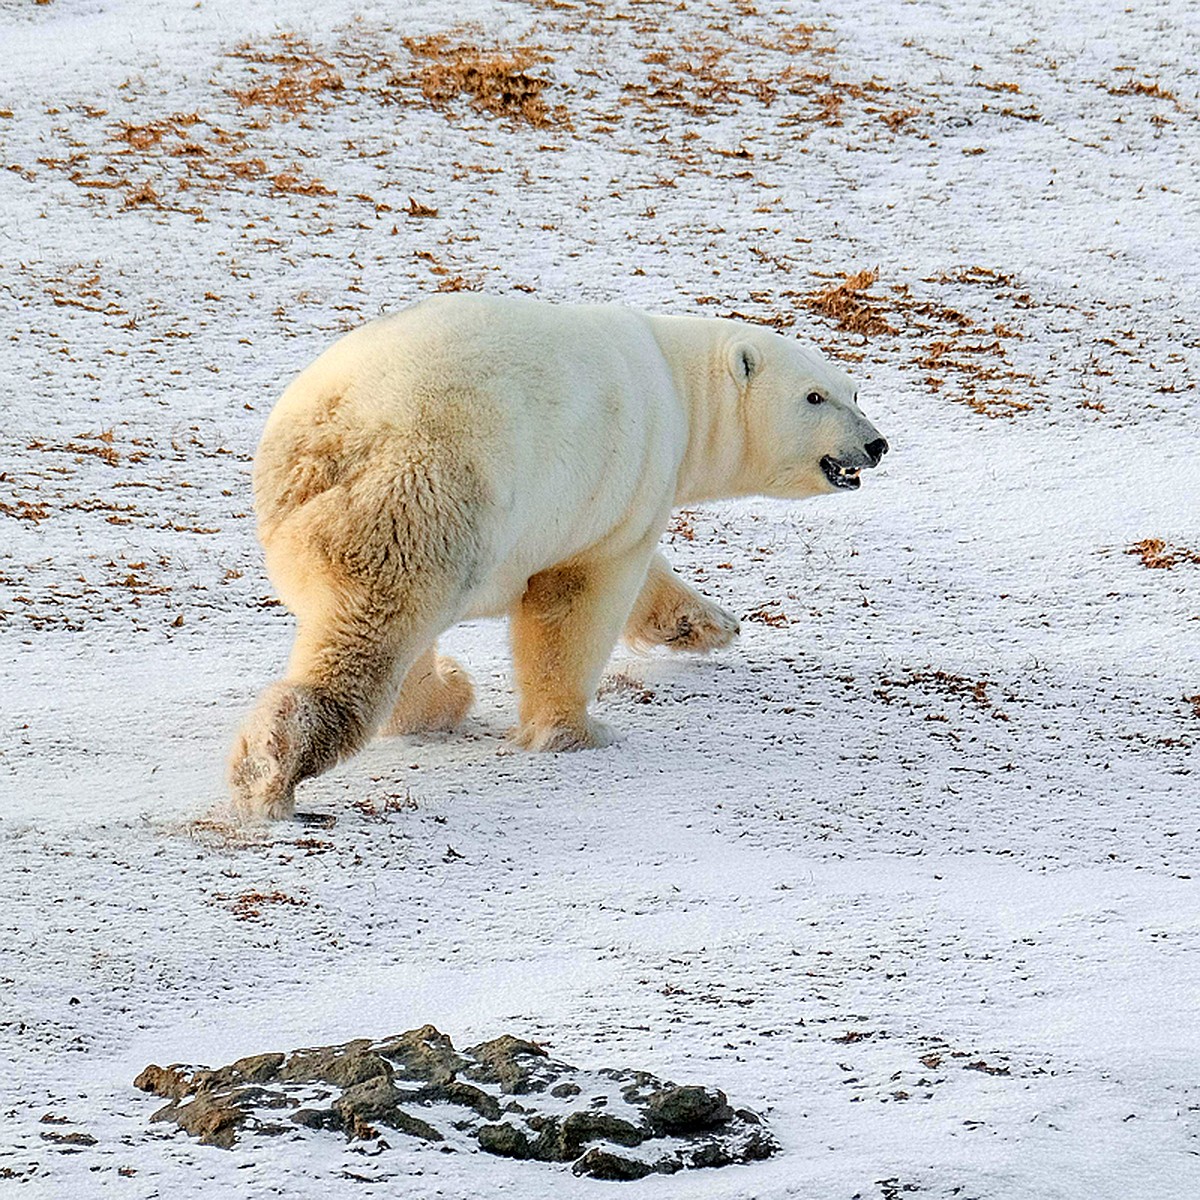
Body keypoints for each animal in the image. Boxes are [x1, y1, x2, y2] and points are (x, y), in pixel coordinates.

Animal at [229, 295, 888, 820]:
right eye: (814, 396)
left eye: (854, 390)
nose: (876, 443)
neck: (678, 385)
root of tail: (327, 441)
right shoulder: (621, 476)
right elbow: (579, 600)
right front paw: (577, 731)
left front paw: (706, 624)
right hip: (425, 498)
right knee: (373, 636)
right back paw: (273, 769)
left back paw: (441, 696)